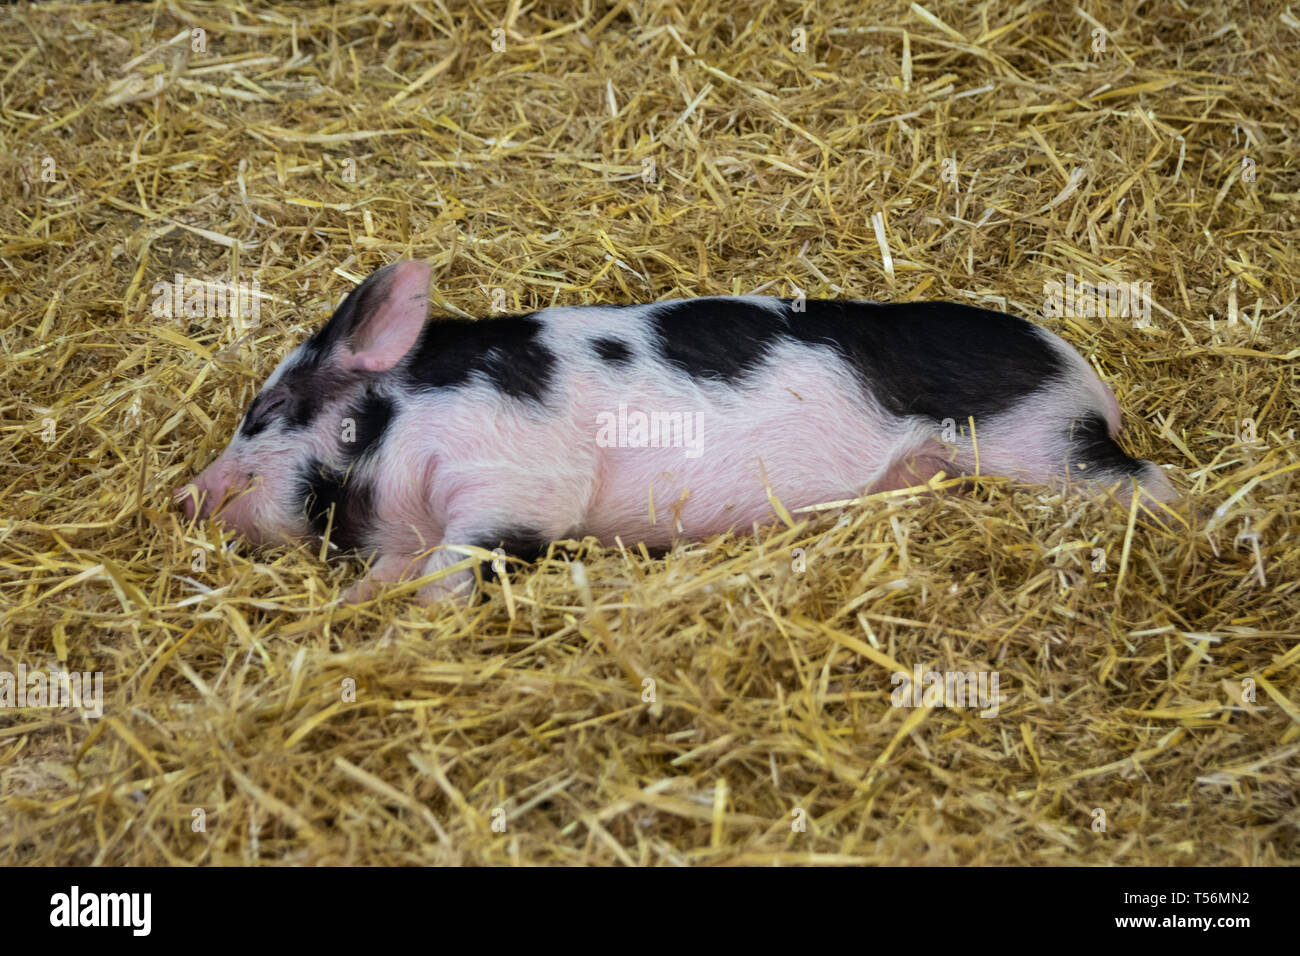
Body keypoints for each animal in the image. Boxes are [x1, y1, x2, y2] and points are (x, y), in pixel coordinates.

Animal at [176, 260, 1174, 602]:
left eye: (263, 415)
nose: (184, 498)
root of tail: (1083, 367)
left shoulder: (515, 479)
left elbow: (465, 562)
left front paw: (411, 617)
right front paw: (355, 607)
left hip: (1039, 442)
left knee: (1149, 482)